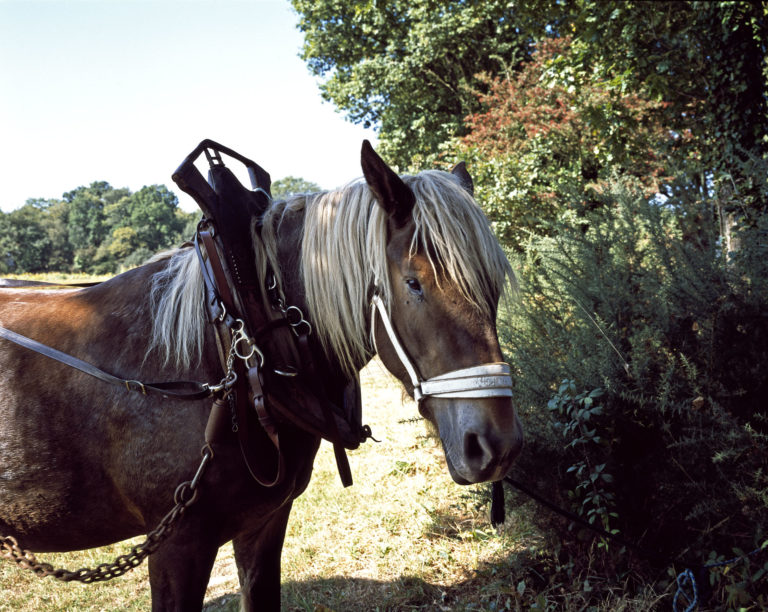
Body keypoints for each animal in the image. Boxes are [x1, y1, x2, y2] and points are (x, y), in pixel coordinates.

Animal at [0, 141, 520, 608]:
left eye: (493, 285)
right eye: (413, 283)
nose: (495, 445)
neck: (233, 342)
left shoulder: (264, 522)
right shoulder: (176, 543)